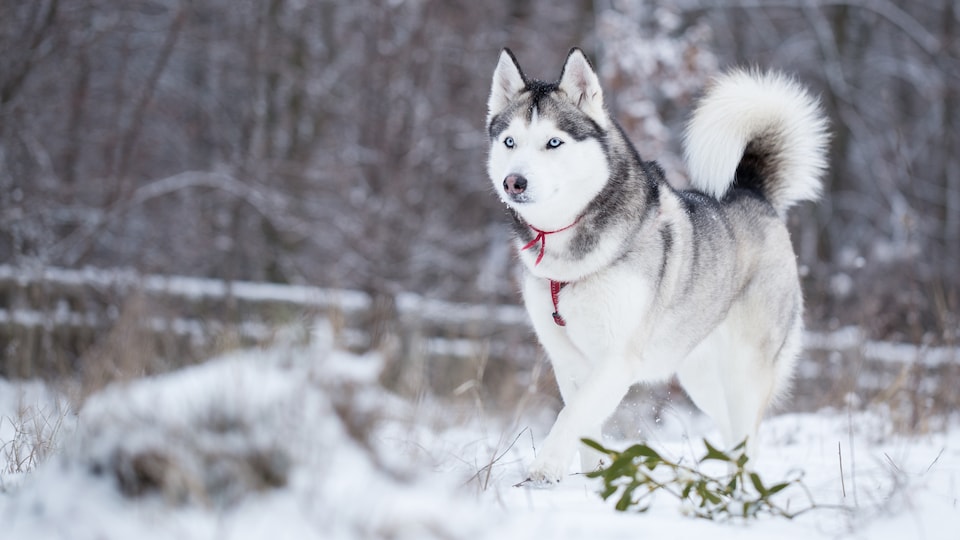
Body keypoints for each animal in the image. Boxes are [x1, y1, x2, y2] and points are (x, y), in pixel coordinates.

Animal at [484, 47, 828, 486]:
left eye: (553, 142)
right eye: (510, 141)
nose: (514, 182)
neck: (569, 254)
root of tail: (753, 193)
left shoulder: (617, 358)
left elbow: (571, 416)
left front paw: (545, 469)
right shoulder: (568, 360)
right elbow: (584, 425)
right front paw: (592, 480)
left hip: (745, 370)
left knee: (748, 438)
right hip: (701, 376)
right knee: (731, 432)